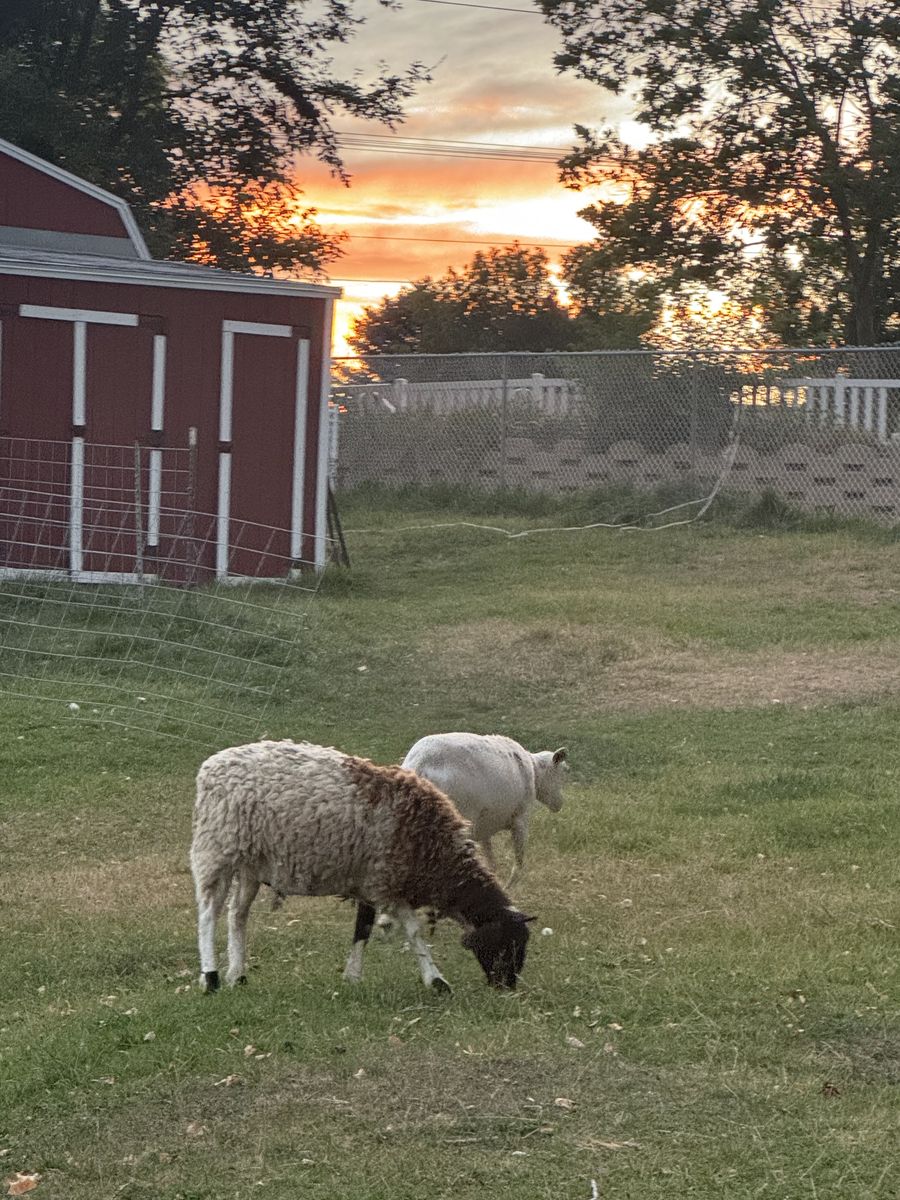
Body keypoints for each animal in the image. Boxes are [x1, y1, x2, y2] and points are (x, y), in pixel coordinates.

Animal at [190, 739, 534, 995]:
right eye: (505, 946)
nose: (507, 987)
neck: (437, 853)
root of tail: (212, 765)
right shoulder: (386, 881)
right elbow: (413, 932)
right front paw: (436, 980)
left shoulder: (371, 881)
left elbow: (363, 928)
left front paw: (352, 975)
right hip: (216, 851)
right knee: (208, 914)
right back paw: (211, 977)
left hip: (251, 864)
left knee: (237, 915)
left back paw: (237, 974)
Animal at [401, 733, 569, 888]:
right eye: (560, 773)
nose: (559, 804)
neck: (534, 772)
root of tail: (419, 766)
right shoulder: (521, 818)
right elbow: (519, 863)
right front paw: (508, 888)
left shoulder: (484, 827)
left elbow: (491, 863)